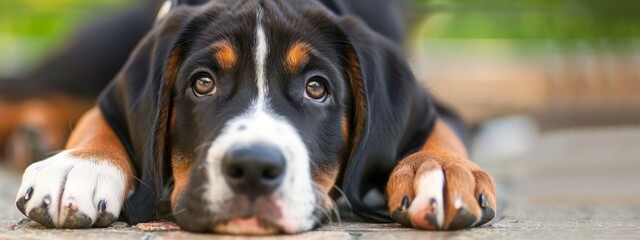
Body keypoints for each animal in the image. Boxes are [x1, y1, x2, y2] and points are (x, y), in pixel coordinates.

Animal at [12, 0, 498, 233]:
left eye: (316, 88)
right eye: (202, 83)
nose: (252, 168)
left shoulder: (437, 107)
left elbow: (441, 134)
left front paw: (440, 171)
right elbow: (97, 117)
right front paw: (78, 165)